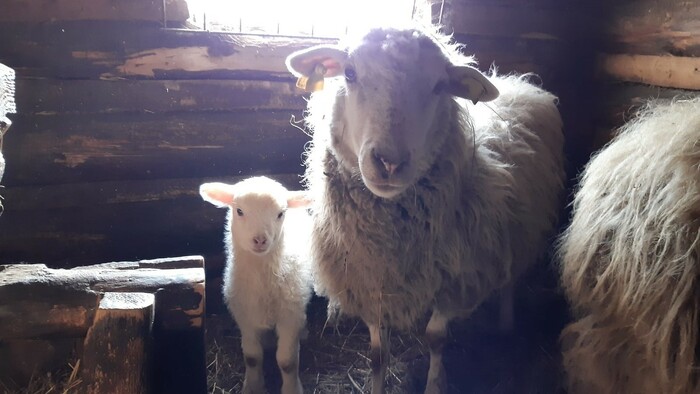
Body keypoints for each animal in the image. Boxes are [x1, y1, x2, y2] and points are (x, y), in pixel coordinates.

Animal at [201, 178, 314, 394]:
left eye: (280, 213)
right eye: (239, 211)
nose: (260, 239)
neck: (263, 279)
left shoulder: (290, 315)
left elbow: (287, 361)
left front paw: (291, 389)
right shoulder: (245, 316)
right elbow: (252, 357)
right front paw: (253, 386)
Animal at [284, 25, 564, 394]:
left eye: (439, 86)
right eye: (350, 73)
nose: (389, 163)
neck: (390, 244)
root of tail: (519, 81)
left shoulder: (455, 278)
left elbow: (435, 339)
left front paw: (434, 383)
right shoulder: (370, 279)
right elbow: (377, 353)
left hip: (517, 229)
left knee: (509, 277)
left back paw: (506, 323)